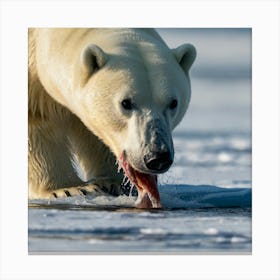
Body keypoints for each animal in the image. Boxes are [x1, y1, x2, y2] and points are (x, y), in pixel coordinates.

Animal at [27, 28, 195, 208]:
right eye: (126, 103)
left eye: (173, 103)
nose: (157, 157)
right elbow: (36, 122)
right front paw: (70, 189)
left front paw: (114, 182)